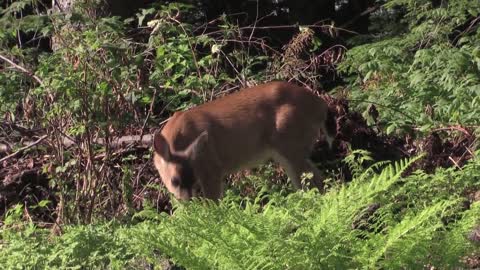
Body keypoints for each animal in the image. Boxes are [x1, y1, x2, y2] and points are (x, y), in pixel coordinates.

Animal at [152, 81, 336, 199]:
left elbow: (213, 203)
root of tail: (321, 106)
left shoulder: (212, 168)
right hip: (290, 151)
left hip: (291, 143)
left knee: (313, 180)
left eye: (193, 179)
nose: (187, 202)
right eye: (174, 181)